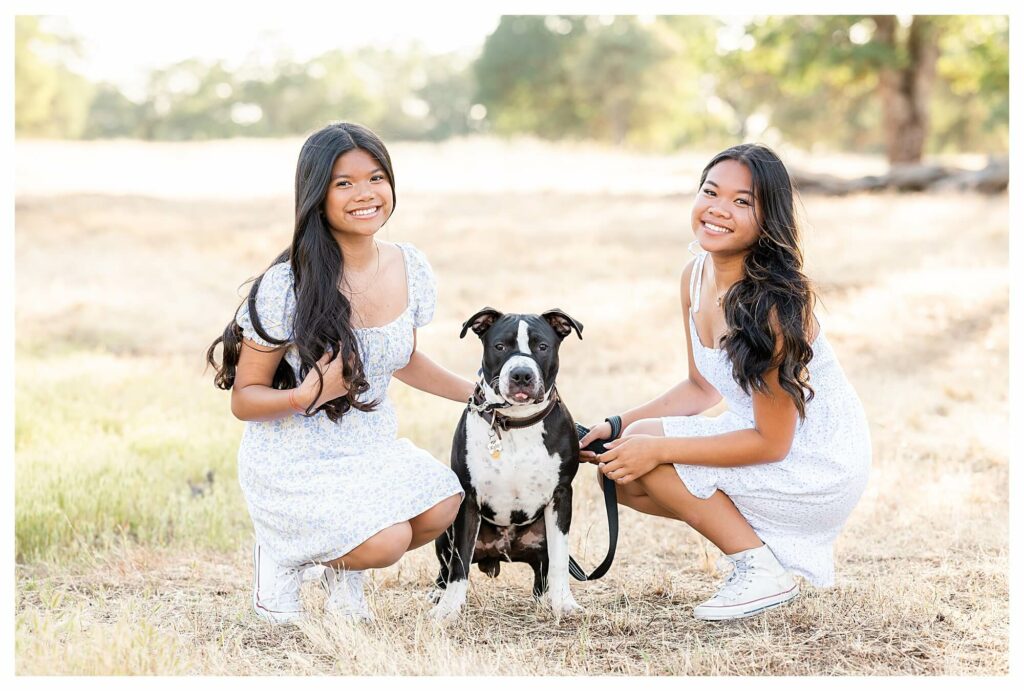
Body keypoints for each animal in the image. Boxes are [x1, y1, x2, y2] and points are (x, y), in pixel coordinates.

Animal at [430, 309, 585, 622]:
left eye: (542, 346)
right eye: (500, 346)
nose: (521, 374)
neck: (516, 422)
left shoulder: (561, 497)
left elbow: (560, 560)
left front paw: (564, 603)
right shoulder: (468, 500)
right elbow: (459, 564)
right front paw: (449, 609)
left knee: (543, 571)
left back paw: (544, 600)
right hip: (444, 534)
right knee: (445, 568)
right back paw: (438, 596)